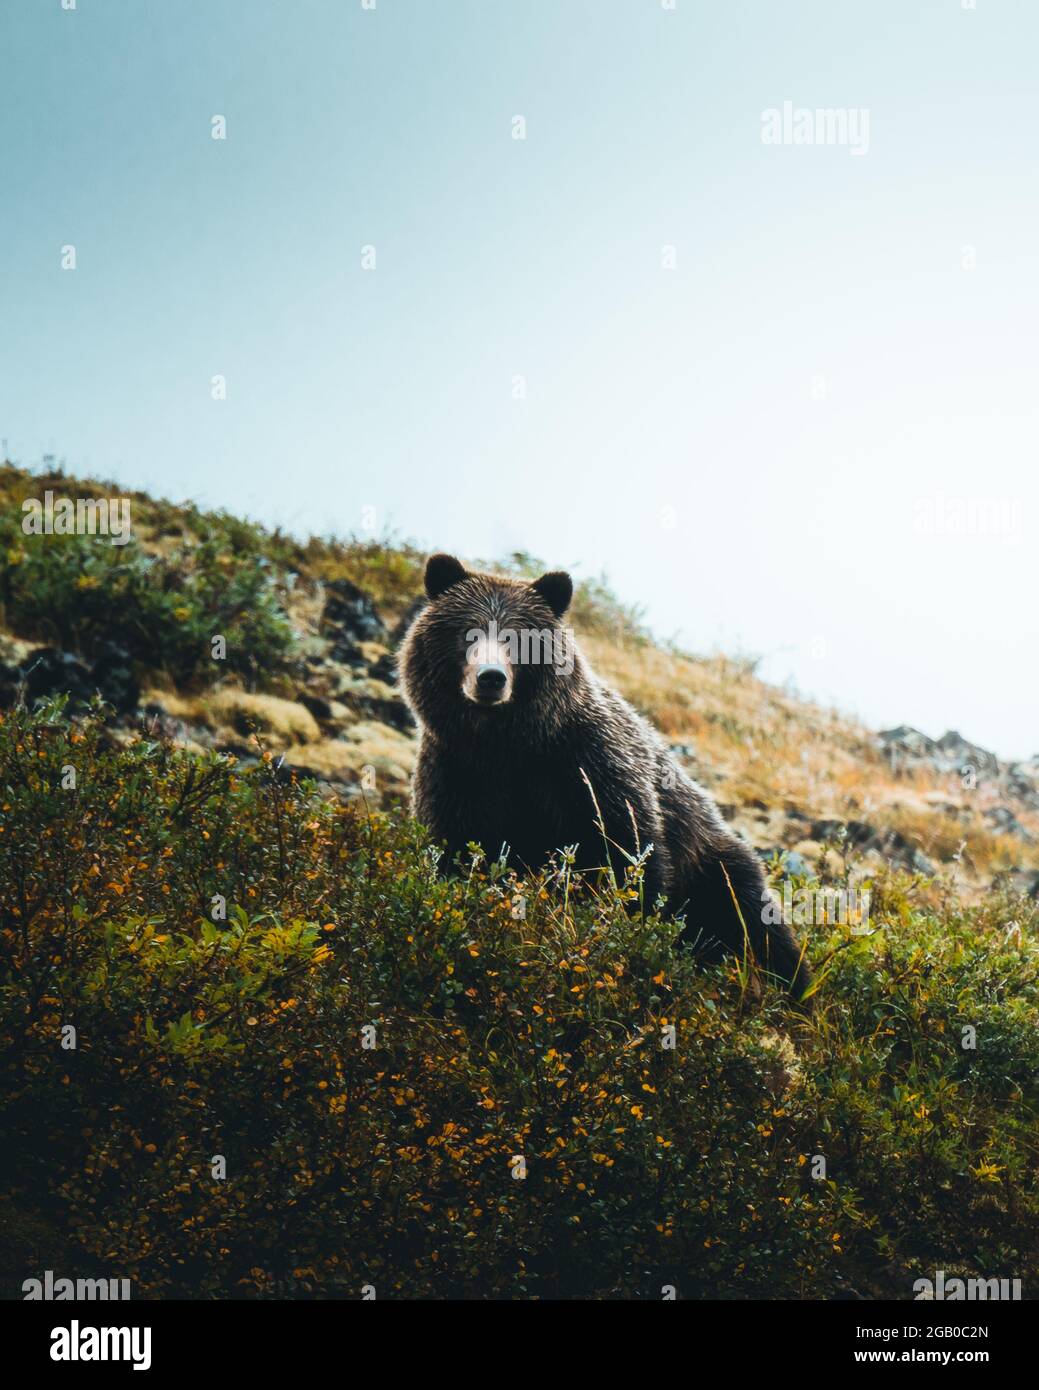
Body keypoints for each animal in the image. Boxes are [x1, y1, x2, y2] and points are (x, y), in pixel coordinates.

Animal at [399, 553, 811, 998]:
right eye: (467, 632)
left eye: (517, 637)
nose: (491, 677)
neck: (507, 745)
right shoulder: (458, 772)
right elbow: (457, 850)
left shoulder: (588, 767)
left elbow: (627, 852)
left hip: (710, 860)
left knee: (751, 917)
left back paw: (791, 987)